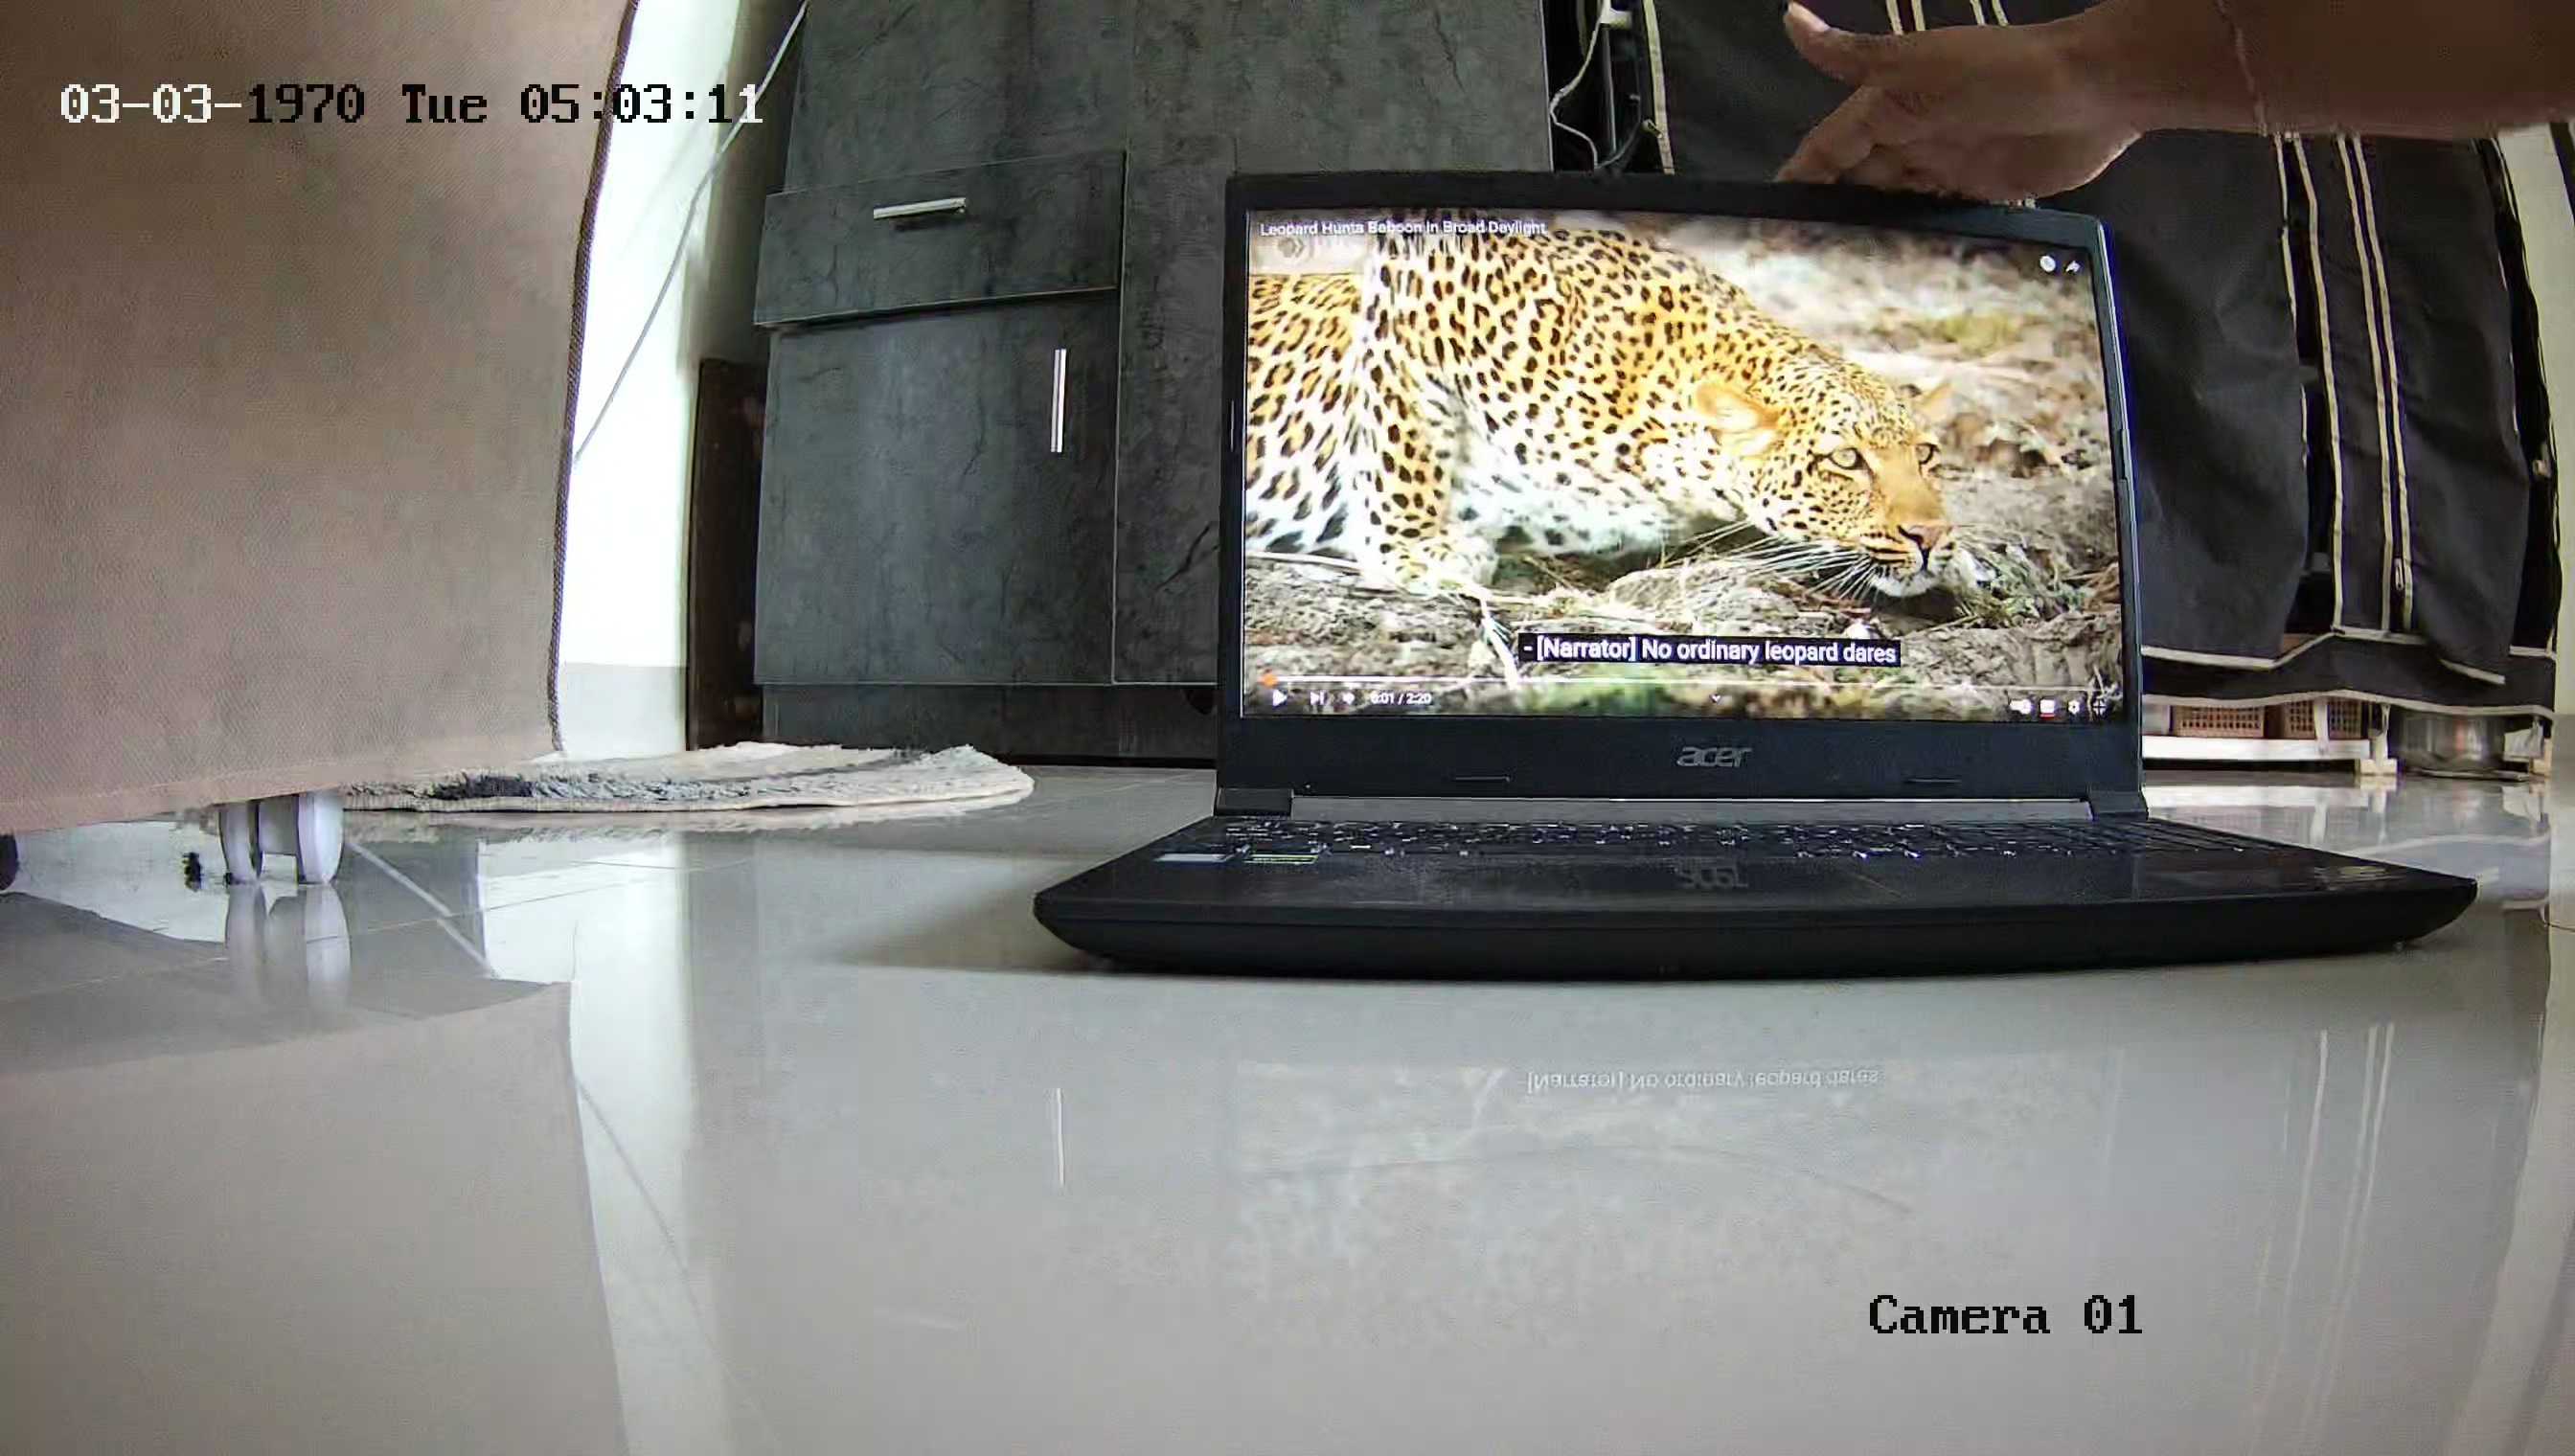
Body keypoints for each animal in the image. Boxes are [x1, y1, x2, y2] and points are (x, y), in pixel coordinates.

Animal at [1241, 219, 1956, 601]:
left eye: (1926, 456)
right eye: (1847, 461)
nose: (1930, 536)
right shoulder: (1424, 276)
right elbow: (1403, 438)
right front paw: (1416, 551)